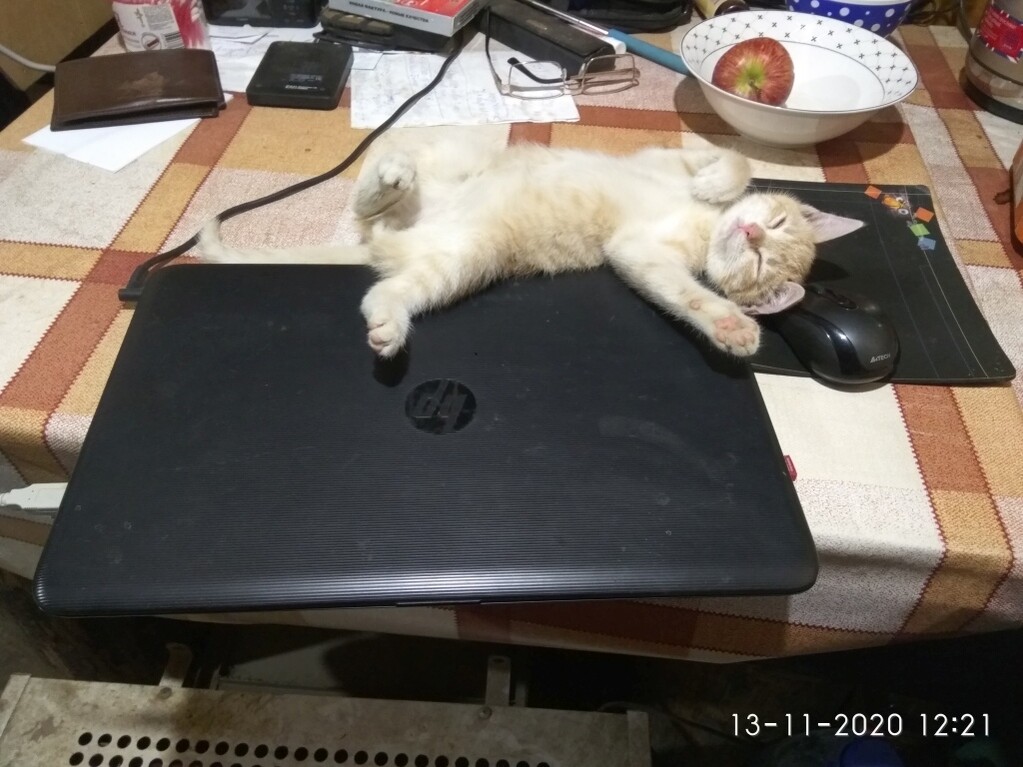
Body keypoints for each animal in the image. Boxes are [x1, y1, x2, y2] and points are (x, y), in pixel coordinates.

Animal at [198, 139, 864, 358]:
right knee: (373, 202)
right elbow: (733, 158)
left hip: (462, 259)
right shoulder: (673, 154)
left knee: (387, 282)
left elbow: (686, 293)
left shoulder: (638, 253)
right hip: (454, 168)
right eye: (776, 221)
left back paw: (388, 323)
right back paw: (390, 171)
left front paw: (732, 327)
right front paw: (717, 183)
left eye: (761, 263)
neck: (704, 224)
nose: (750, 234)